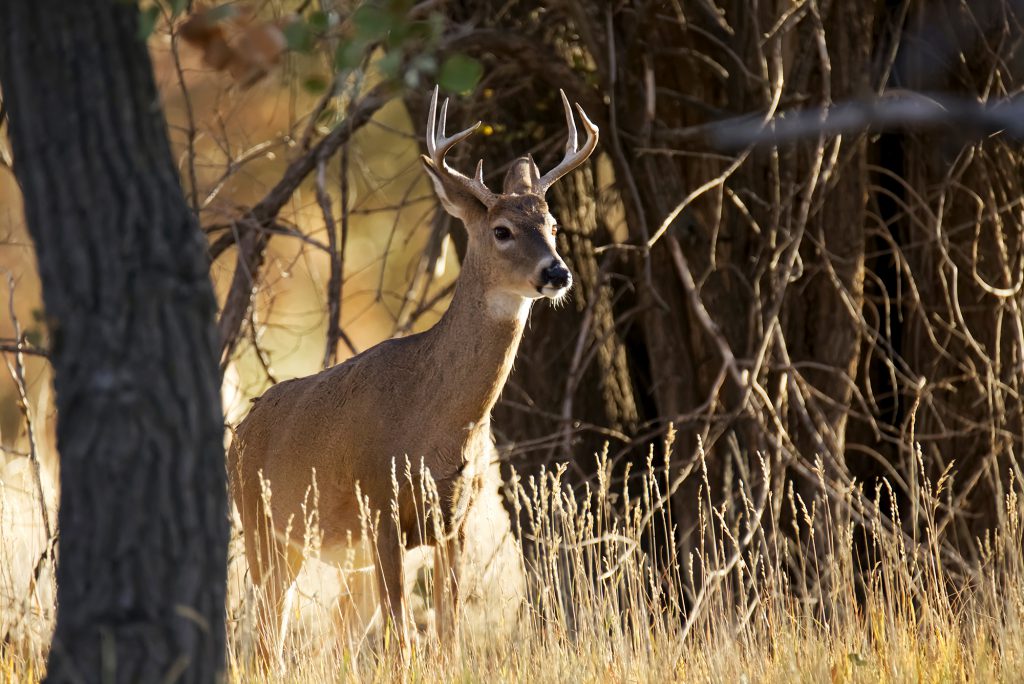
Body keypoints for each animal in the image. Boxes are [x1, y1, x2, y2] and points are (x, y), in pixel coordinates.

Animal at [228, 85, 598, 663]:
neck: (436, 426)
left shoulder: (455, 522)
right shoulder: (379, 505)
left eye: (554, 226)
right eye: (502, 230)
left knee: (333, 634)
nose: (557, 272)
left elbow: (447, 636)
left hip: (335, 556)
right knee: (269, 637)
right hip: (265, 528)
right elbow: (402, 640)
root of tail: (238, 433)